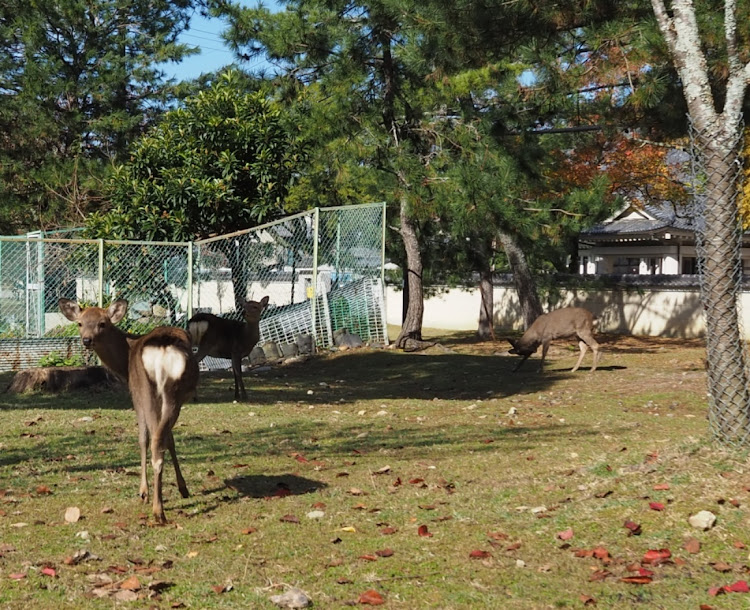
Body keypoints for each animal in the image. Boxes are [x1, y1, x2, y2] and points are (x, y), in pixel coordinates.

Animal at [58, 296, 198, 520]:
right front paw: (183, 488)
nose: (87, 340)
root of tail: (163, 349)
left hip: (148, 389)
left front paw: (144, 492)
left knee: (154, 441)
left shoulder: (135, 392)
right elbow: (171, 439)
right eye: (80, 323)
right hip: (170, 393)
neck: (125, 362)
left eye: (103, 323)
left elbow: (143, 438)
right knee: (161, 437)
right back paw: (159, 506)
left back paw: (156, 509)